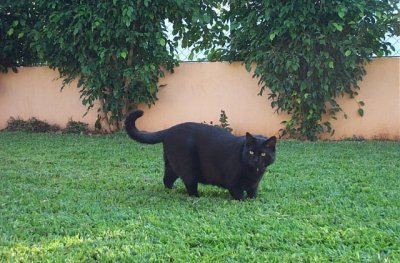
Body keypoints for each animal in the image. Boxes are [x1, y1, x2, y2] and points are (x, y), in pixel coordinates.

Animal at [124, 110, 276, 201]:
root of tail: (169, 130)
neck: (254, 173)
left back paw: (171, 191)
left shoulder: (253, 185)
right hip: (187, 165)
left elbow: (252, 194)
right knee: (190, 183)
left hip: (172, 165)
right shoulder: (234, 184)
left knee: (166, 179)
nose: (255, 160)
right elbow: (240, 196)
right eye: (251, 152)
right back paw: (197, 197)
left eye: (263, 154)